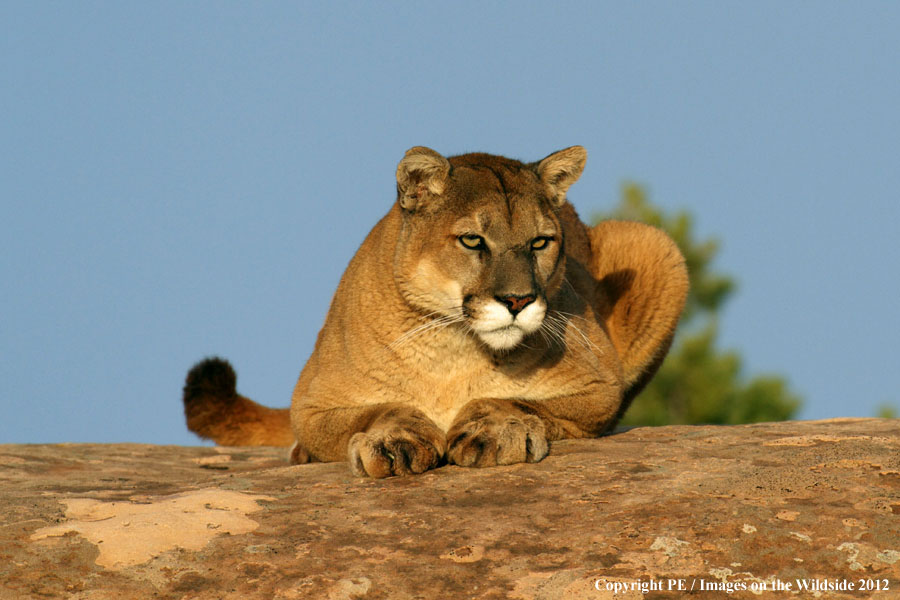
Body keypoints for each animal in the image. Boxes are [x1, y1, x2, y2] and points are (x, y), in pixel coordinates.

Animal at [185, 145, 688, 478]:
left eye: (541, 242)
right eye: (472, 240)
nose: (518, 301)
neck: (454, 345)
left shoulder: (600, 387)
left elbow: (511, 398)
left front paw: (495, 430)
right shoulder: (311, 402)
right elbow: (380, 408)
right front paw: (395, 440)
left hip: (653, 244)